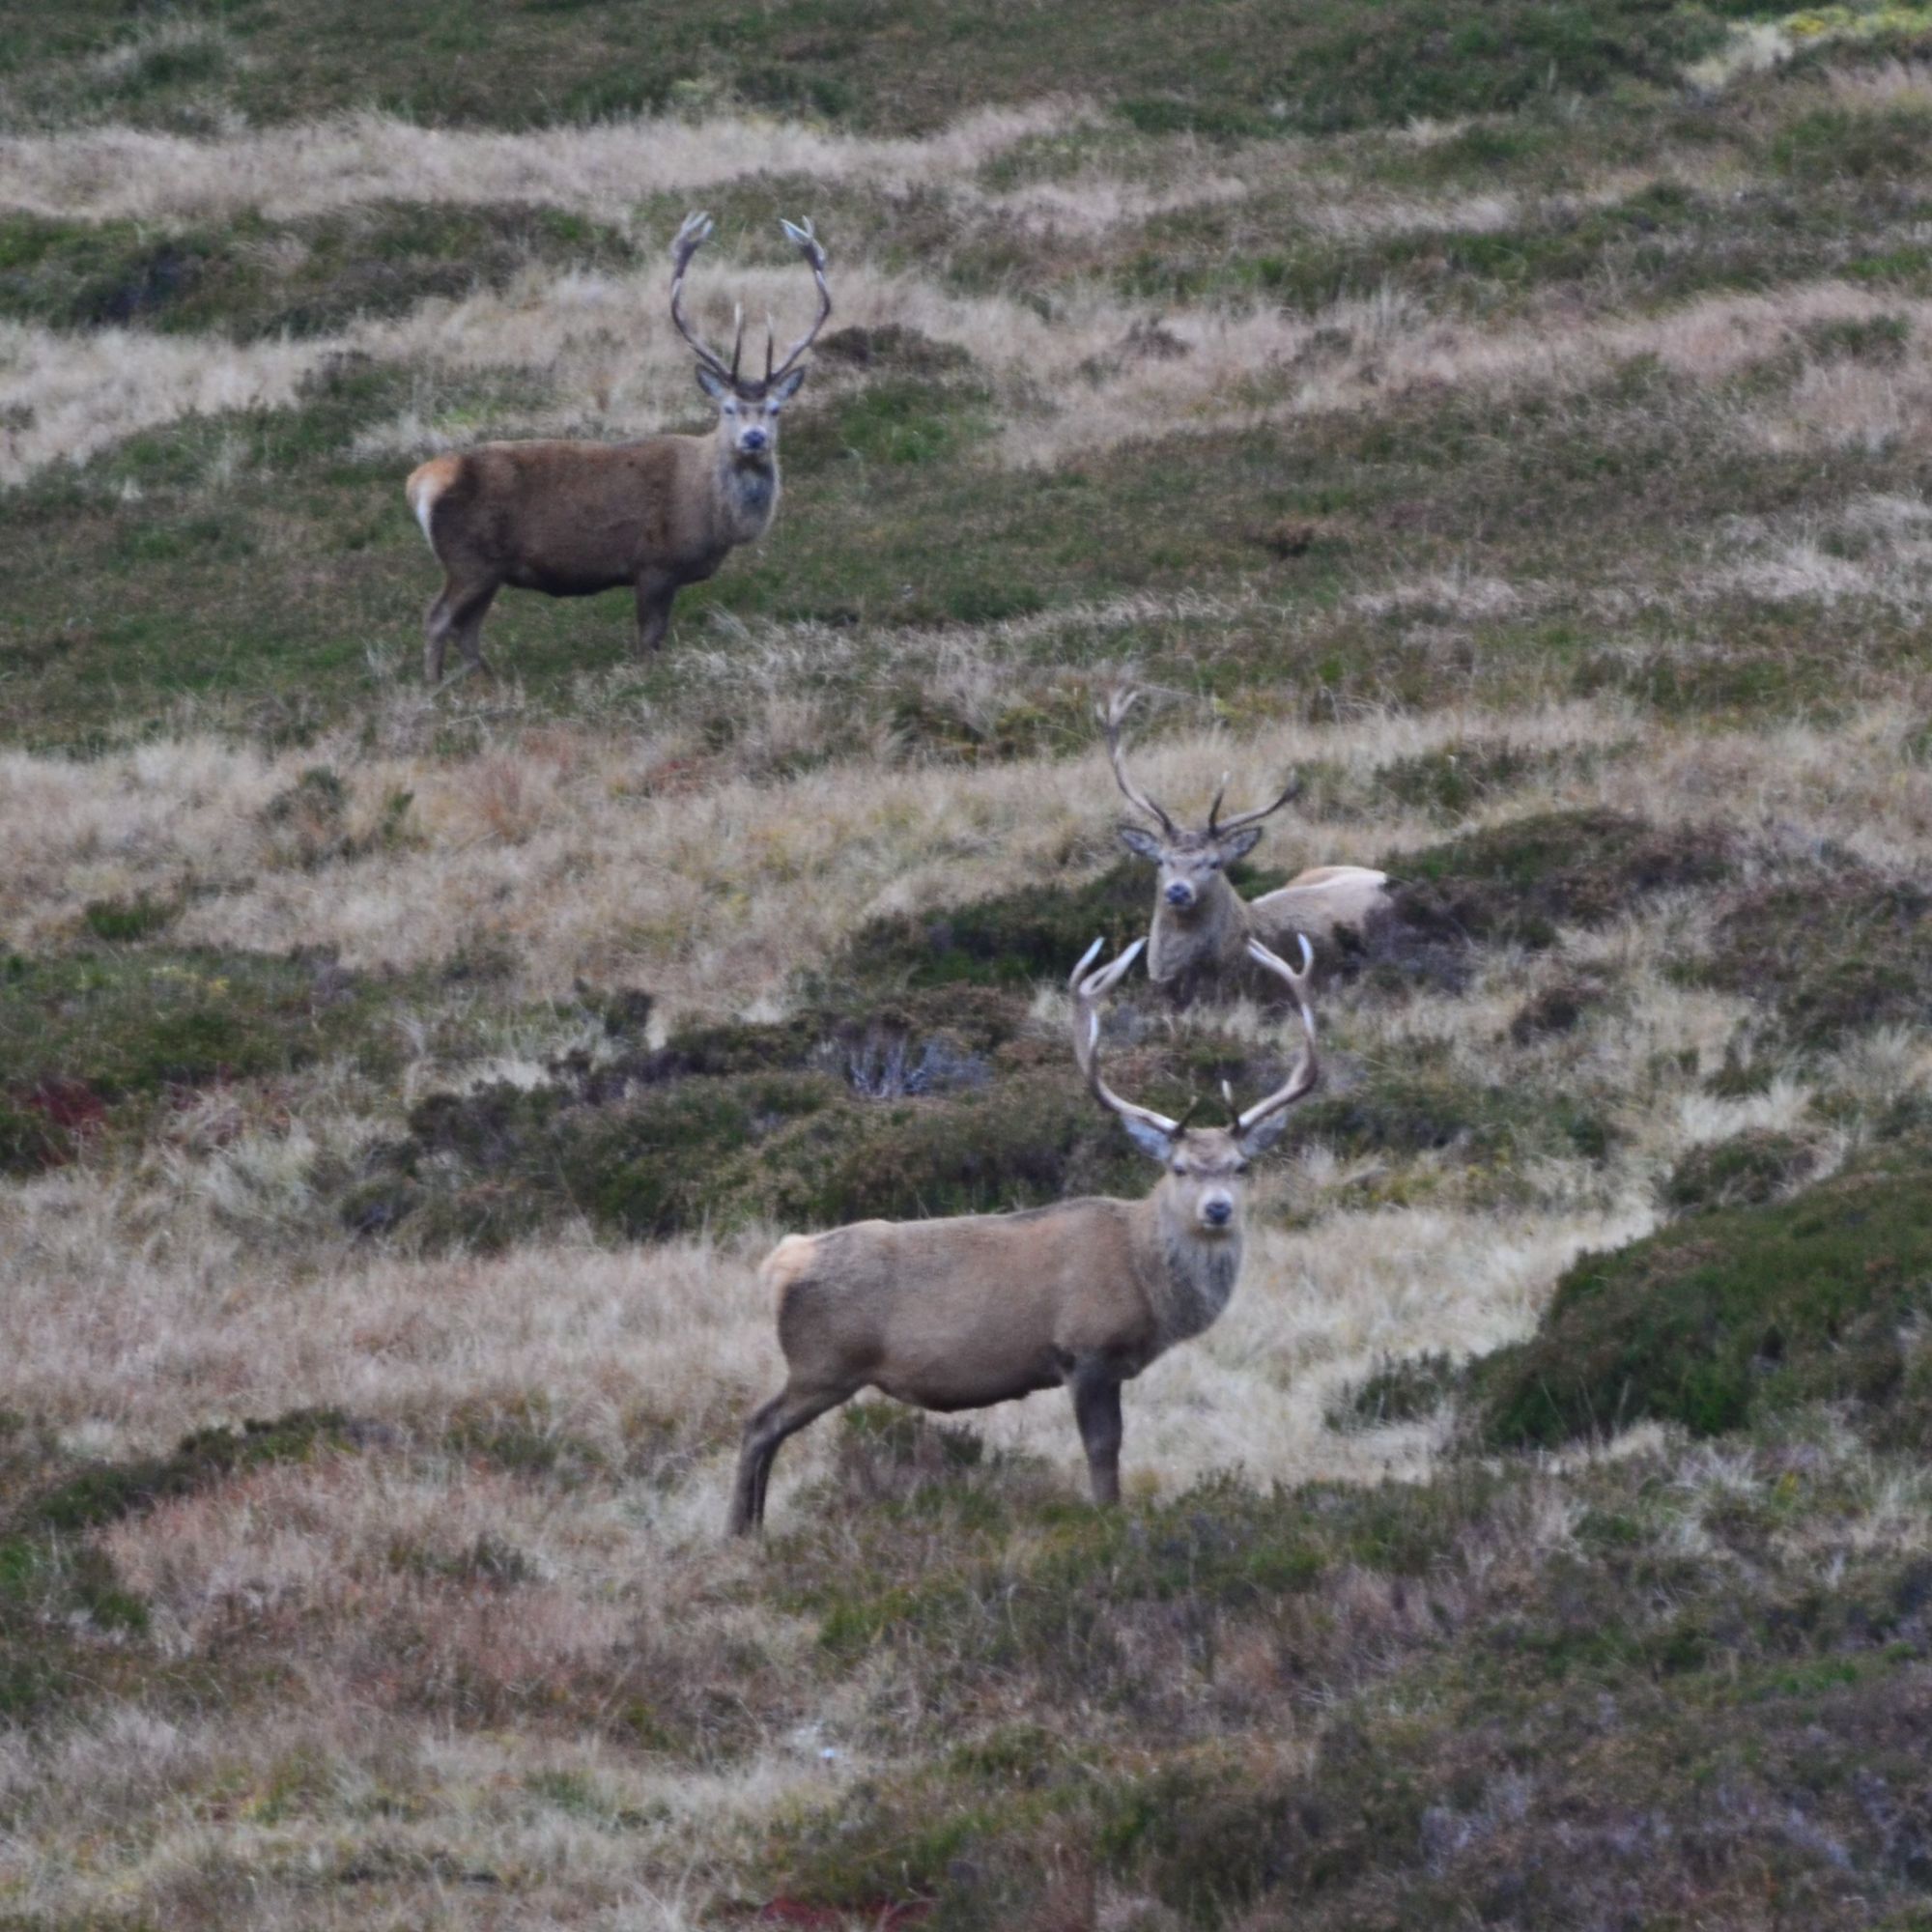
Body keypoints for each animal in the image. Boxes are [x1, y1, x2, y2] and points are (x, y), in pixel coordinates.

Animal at [400, 210, 831, 680]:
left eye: (775, 409)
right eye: (728, 408)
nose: (754, 438)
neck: (717, 519)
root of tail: (419, 483)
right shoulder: (655, 564)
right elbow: (649, 640)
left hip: (486, 570)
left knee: (467, 629)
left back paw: (484, 682)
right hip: (467, 559)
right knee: (437, 619)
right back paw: (434, 685)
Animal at [730, 935, 1321, 1538]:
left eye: (1241, 1166)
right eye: (1178, 1168)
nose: (1218, 1209)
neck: (1145, 1279)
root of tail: (782, 1262)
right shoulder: (1086, 1349)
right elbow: (1103, 1450)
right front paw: (1107, 1520)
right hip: (823, 1362)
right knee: (758, 1426)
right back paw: (740, 1532)